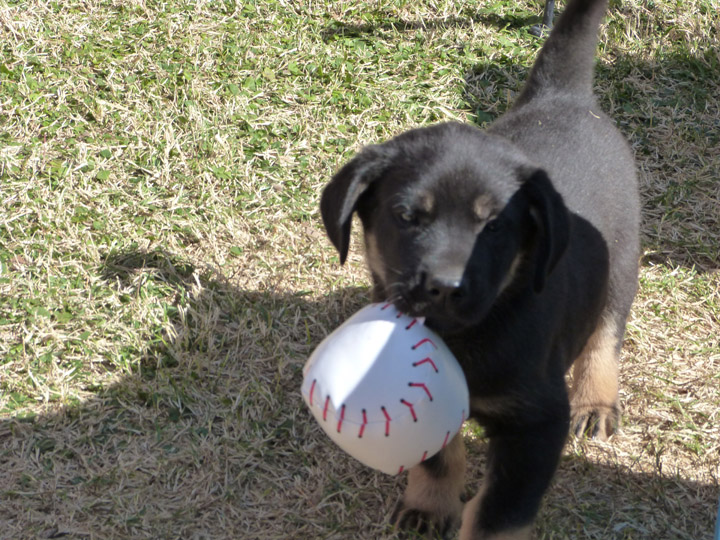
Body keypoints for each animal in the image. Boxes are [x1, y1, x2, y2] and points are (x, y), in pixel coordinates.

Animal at [318, 0, 640, 536]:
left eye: (494, 227)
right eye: (406, 217)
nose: (445, 287)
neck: (471, 334)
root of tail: (565, 96)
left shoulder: (536, 424)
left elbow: (498, 514)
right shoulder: (433, 403)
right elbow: (437, 458)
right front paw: (429, 507)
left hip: (622, 260)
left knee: (606, 332)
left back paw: (596, 400)